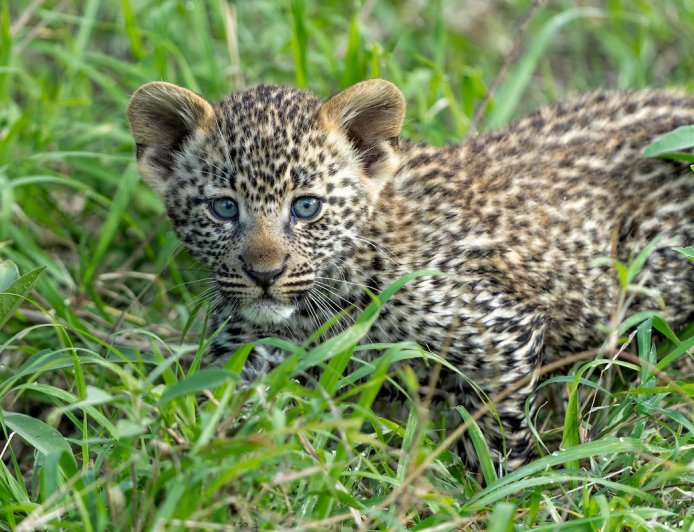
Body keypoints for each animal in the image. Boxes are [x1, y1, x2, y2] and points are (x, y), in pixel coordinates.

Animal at [127, 79, 694, 468]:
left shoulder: (501, 331)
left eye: (306, 206)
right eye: (223, 208)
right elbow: (214, 398)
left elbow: (497, 429)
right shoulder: (246, 345)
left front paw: (499, 486)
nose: (265, 273)